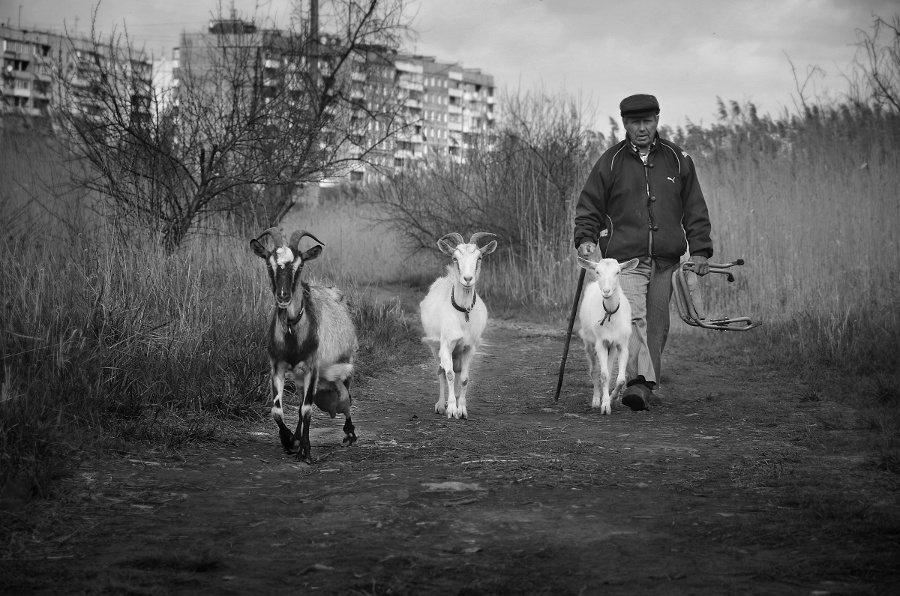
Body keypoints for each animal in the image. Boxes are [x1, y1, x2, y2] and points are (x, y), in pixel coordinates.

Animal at [251, 226, 360, 464]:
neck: (293, 335)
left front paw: (306, 452)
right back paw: (298, 436)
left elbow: (307, 409)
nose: (283, 296)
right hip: (300, 378)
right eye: (269, 263)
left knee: (346, 396)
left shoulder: (313, 367)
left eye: (300, 265)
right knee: (301, 400)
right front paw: (289, 441)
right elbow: (278, 410)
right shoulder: (277, 366)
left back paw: (349, 434)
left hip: (346, 362)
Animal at [420, 230, 500, 422]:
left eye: (479, 257)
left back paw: (455, 399)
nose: (468, 278)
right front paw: (450, 409)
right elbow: (448, 374)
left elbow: (463, 378)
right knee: (441, 371)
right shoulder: (446, 345)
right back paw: (441, 404)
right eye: (455, 258)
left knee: (456, 371)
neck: (462, 313)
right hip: (435, 347)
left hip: (458, 351)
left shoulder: (469, 348)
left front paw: (461, 409)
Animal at [576, 256, 640, 414]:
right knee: (594, 370)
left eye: (617, 272)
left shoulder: (622, 344)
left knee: (609, 370)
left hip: (612, 348)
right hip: (589, 342)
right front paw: (604, 405)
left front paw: (612, 399)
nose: (606, 291)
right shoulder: (601, 343)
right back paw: (595, 400)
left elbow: (620, 379)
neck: (610, 313)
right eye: (598, 271)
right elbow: (603, 375)